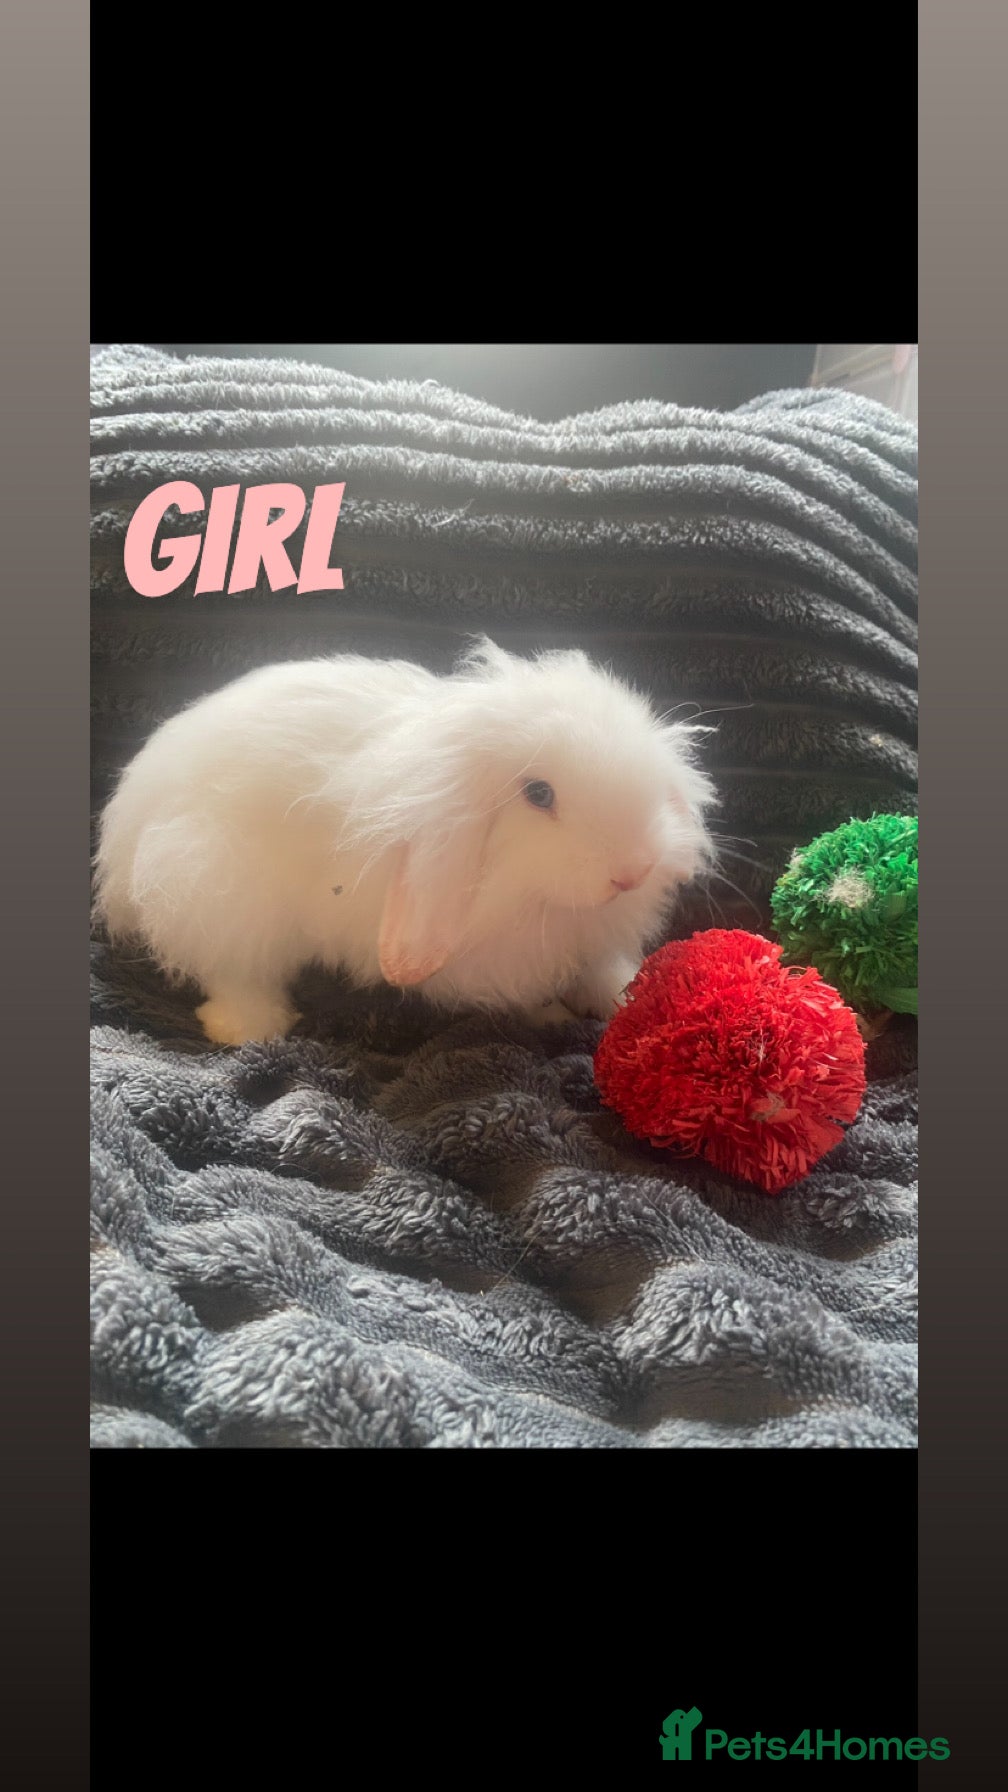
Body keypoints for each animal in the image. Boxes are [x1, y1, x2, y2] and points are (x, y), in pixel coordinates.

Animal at [93, 637, 716, 1045]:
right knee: (231, 971)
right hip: (214, 889)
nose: (633, 870)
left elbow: (603, 971)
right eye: (538, 794)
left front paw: (619, 1000)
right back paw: (249, 1029)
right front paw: (552, 1020)